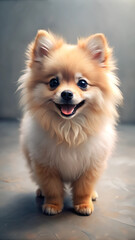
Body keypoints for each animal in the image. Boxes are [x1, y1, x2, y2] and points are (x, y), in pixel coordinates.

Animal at [18, 29, 122, 216]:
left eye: (82, 83)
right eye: (53, 82)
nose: (66, 93)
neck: (70, 128)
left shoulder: (91, 164)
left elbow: (83, 188)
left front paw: (83, 205)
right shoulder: (45, 164)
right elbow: (52, 188)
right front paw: (52, 205)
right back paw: (41, 192)